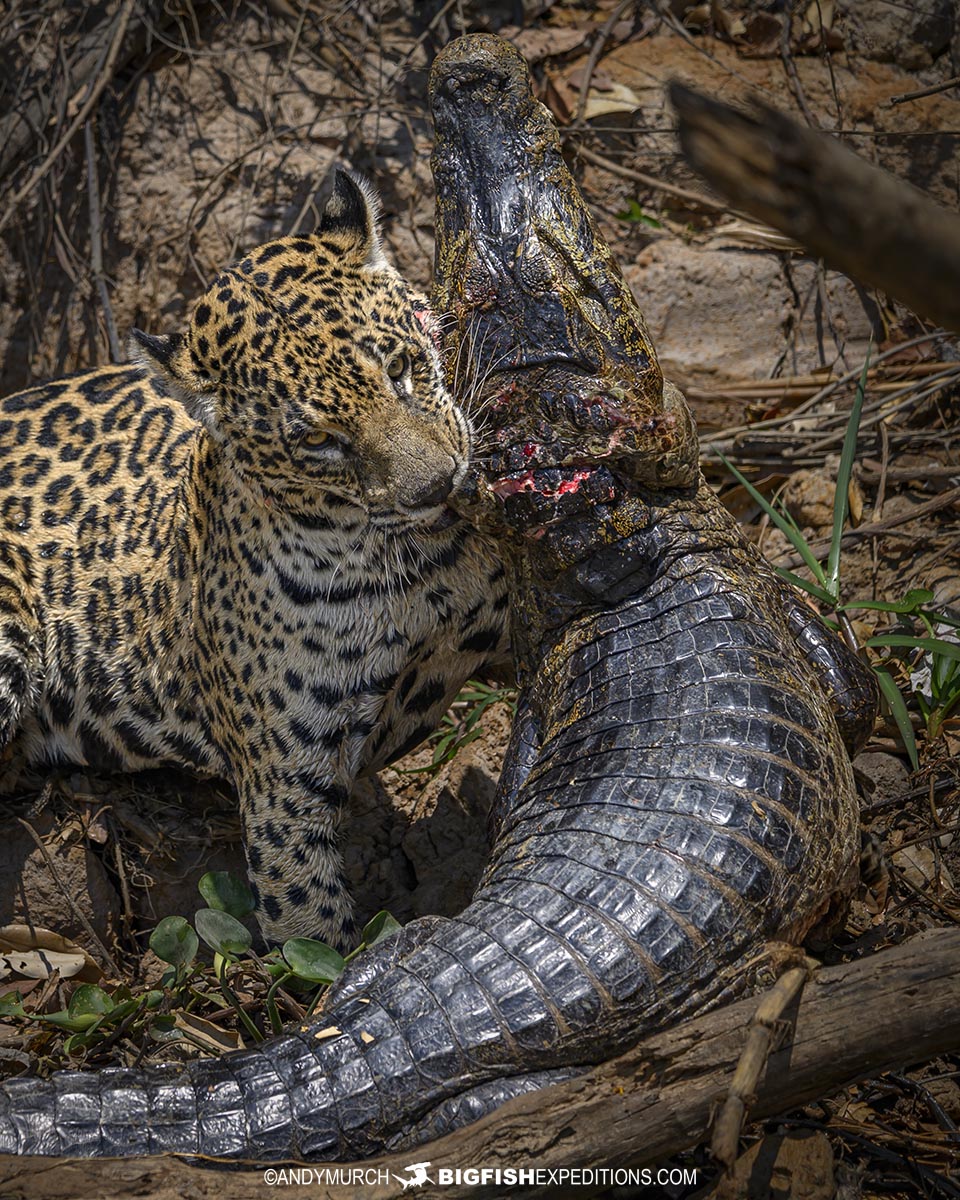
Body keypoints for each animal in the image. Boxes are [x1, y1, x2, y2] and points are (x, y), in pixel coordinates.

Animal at [0, 171, 509, 949]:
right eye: (320, 440)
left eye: (400, 367)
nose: (439, 485)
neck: (415, 565)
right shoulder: (284, 789)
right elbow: (311, 933)